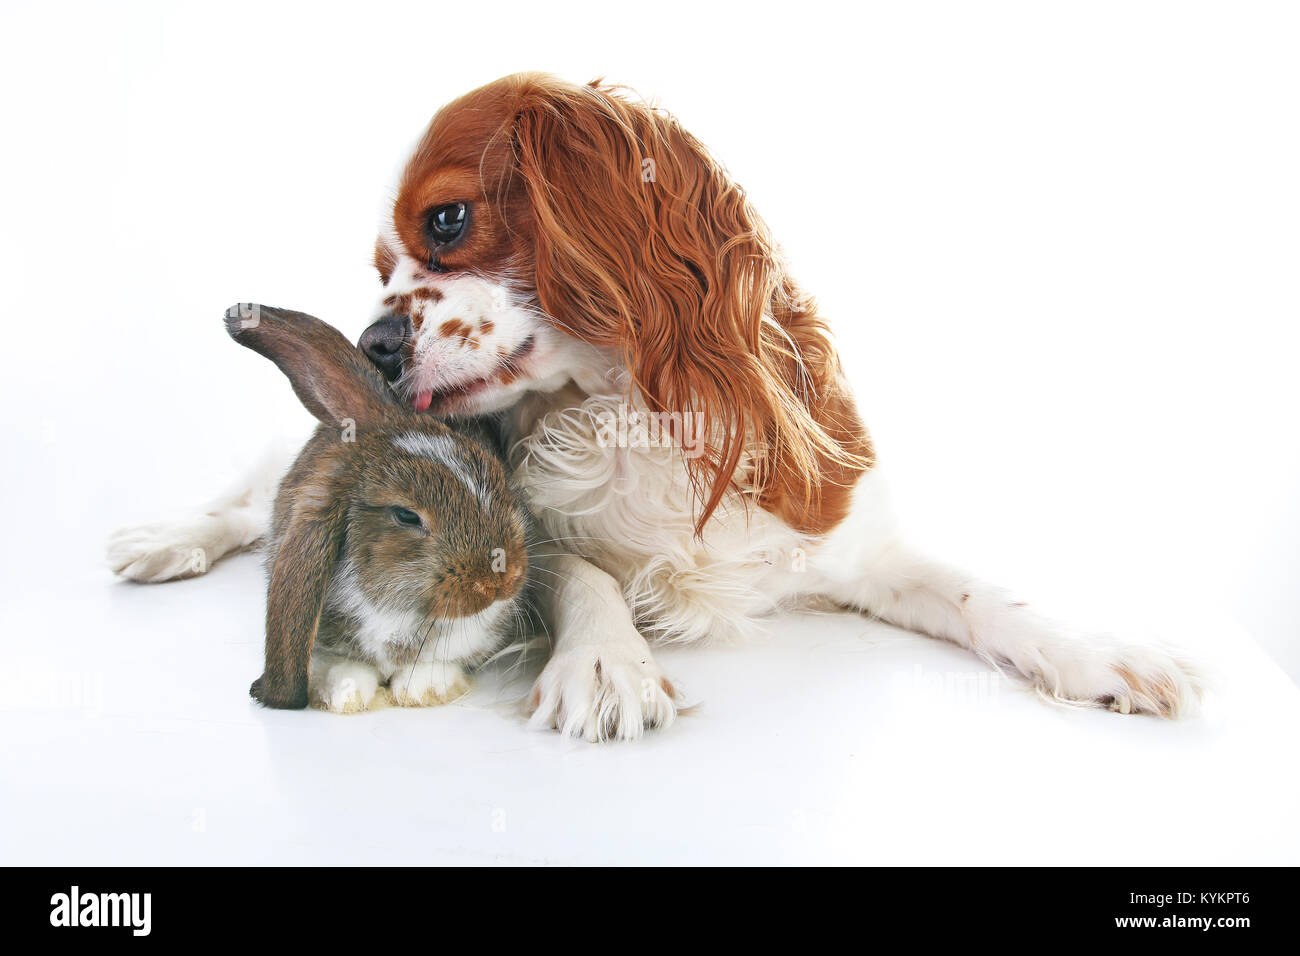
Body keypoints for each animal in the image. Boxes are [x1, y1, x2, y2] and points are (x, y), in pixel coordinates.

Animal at [224, 303, 533, 714]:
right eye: (406, 516)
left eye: (497, 473)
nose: (503, 580)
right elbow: (342, 665)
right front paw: (345, 694)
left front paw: (423, 689)